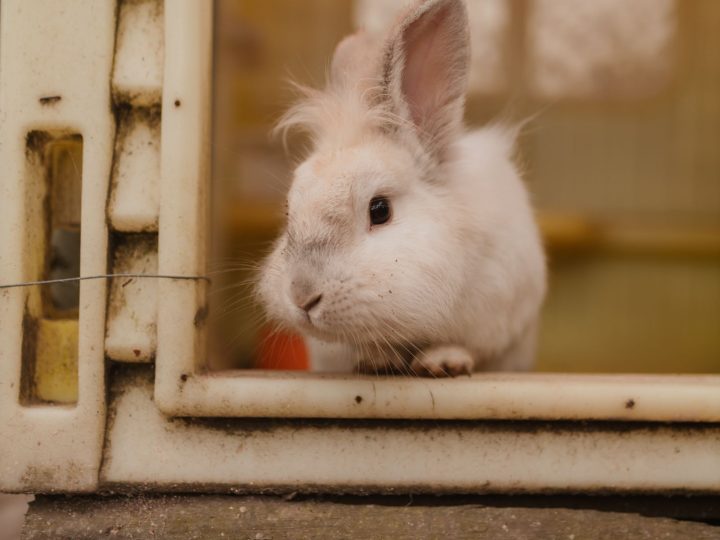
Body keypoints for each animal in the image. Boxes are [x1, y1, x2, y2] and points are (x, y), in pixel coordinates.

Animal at [257, 0, 546, 376]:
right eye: (289, 209)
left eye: (380, 210)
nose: (302, 295)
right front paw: (377, 361)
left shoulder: (497, 317)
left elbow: (467, 345)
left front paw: (444, 362)